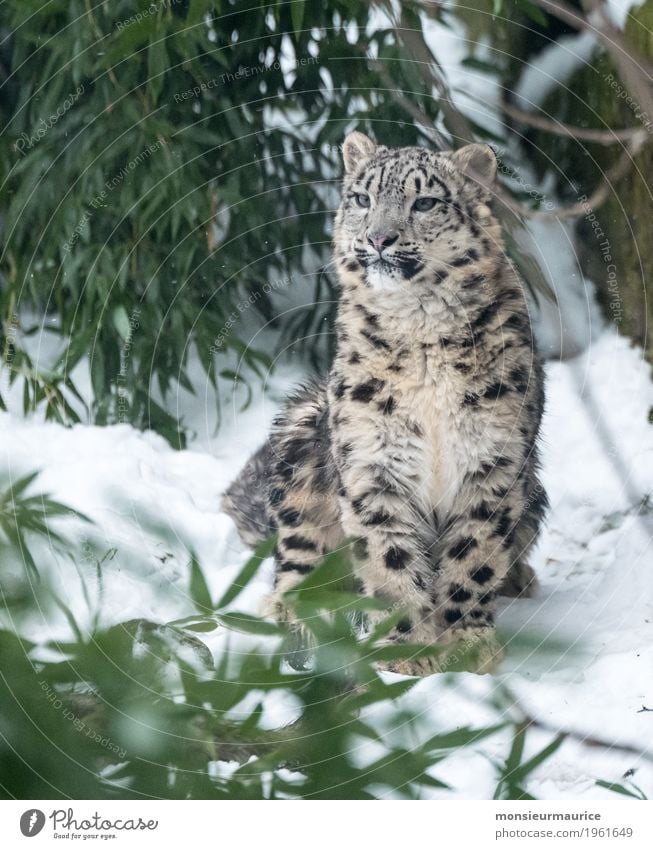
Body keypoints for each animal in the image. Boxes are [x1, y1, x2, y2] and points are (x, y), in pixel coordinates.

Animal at [222, 131, 548, 676]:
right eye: (361, 198)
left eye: (426, 202)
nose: (378, 239)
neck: (421, 329)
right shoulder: (373, 462)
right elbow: (388, 559)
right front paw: (409, 651)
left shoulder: (491, 461)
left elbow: (474, 556)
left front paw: (468, 643)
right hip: (301, 441)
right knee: (294, 557)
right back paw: (291, 616)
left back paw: (520, 579)